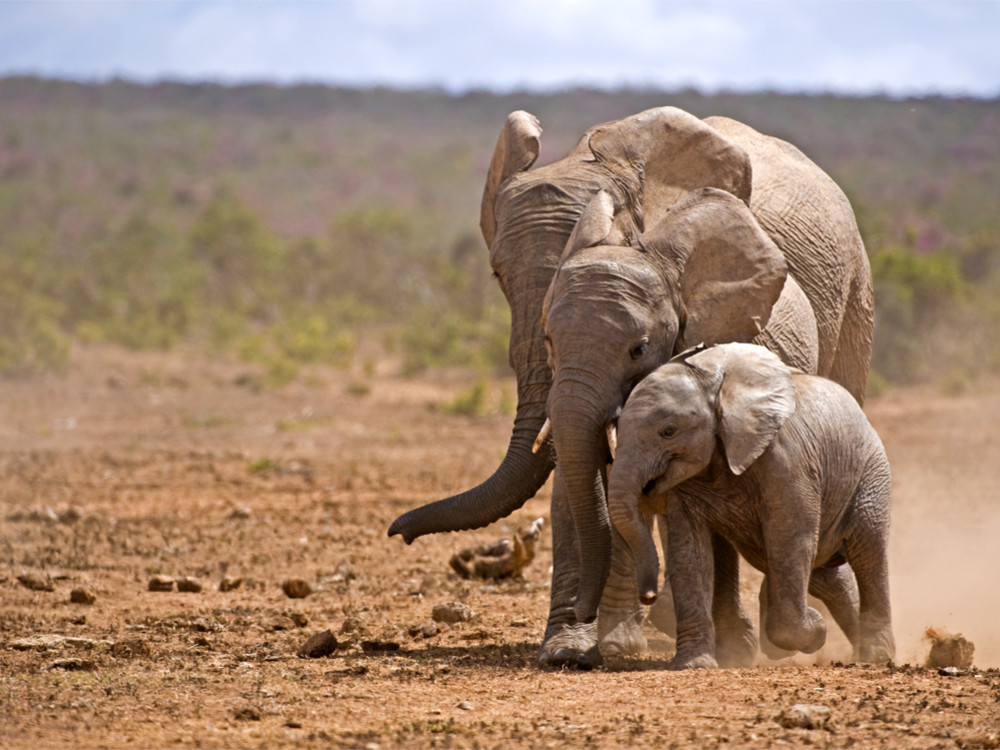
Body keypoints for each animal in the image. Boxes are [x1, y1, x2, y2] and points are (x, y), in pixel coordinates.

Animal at [608, 343, 895, 669]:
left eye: (668, 431)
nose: (648, 595)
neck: (719, 390)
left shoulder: (788, 462)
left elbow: (791, 541)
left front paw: (816, 630)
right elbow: (690, 553)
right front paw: (694, 664)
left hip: (871, 472)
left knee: (867, 552)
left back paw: (875, 655)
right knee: (827, 571)